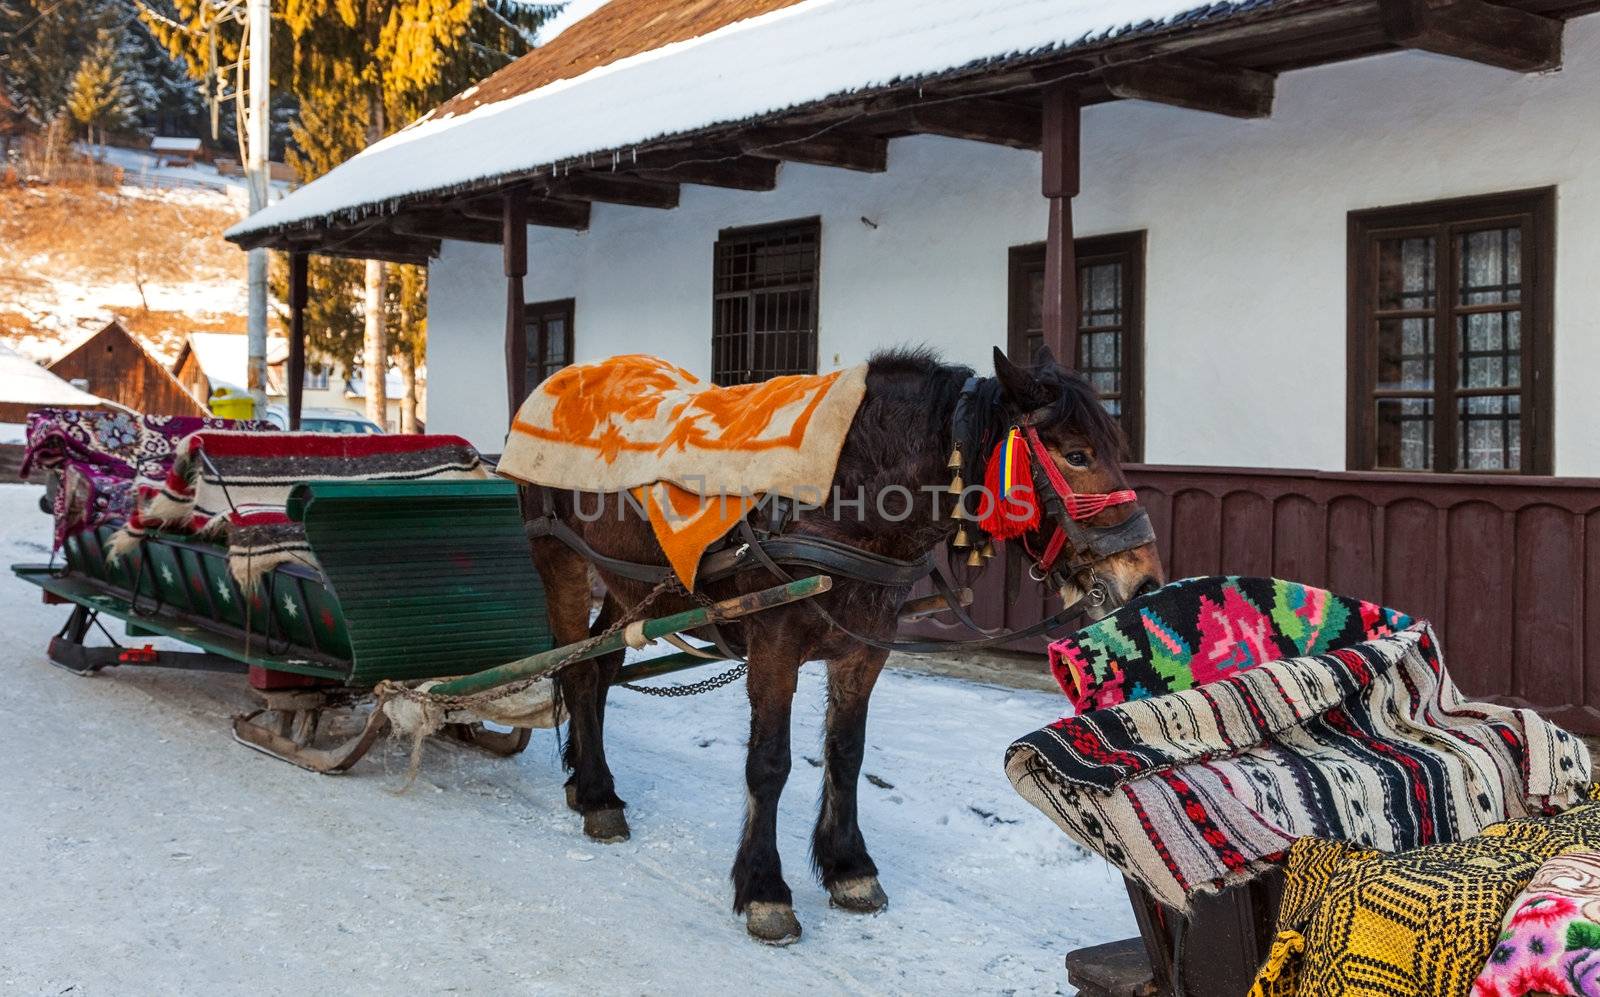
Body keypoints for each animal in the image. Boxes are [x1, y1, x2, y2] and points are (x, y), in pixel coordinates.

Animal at [524, 342, 1164, 940]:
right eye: (1077, 455)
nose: (1144, 579)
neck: (847, 496)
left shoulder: (865, 650)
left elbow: (847, 754)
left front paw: (849, 868)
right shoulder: (774, 645)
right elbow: (769, 763)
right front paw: (764, 889)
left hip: (627, 584)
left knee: (601, 669)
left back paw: (586, 780)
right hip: (561, 559)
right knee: (576, 669)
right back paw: (599, 796)